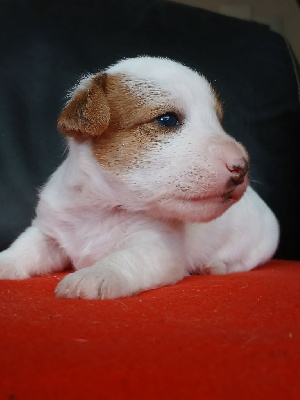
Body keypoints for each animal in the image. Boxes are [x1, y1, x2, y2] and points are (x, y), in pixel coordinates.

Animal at [0, 57, 278, 298]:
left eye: (218, 121)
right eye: (167, 120)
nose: (242, 167)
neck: (103, 207)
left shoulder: (156, 249)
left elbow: (122, 259)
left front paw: (94, 275)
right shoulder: (47, 233)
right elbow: (23, 250)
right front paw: (5, 262)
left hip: (260, 245)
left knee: (240, 263)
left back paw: (215, 266)